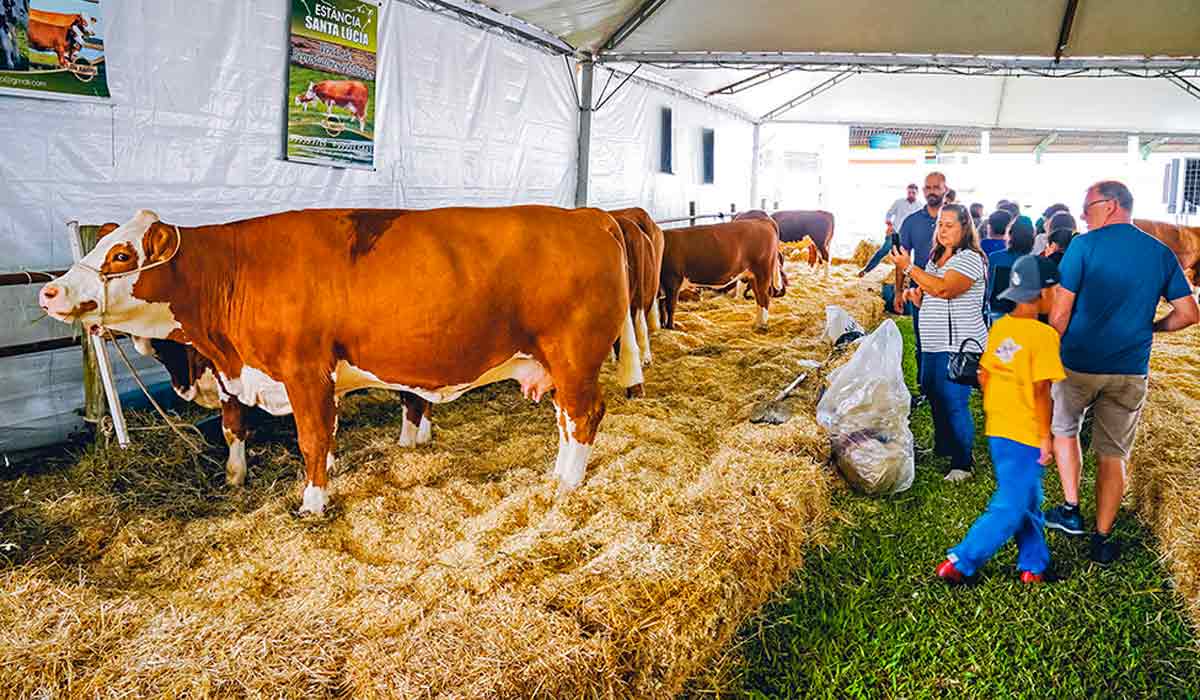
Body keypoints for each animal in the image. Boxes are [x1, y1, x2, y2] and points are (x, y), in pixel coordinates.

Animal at [39, 206, 638, 513]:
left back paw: (567, 484)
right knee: (566, 419)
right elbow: (252, 430)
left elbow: (311, 439)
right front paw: (241, 479)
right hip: (556, 364)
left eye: (121, 254)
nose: (50, 291)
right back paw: (557, 474)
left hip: (575, 356)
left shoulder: (305, 370)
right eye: (102, 245)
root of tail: (591, 215)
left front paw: (312, 503)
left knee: (584, 416)